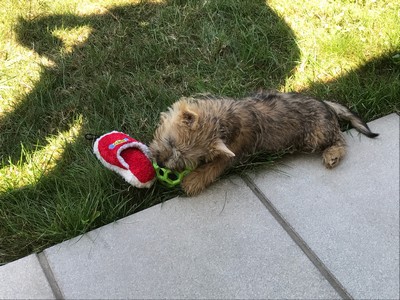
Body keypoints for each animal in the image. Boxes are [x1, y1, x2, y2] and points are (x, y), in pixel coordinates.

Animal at [150, 90, 378, 196]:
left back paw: (333, 155)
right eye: (169, 141)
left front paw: (193, 181)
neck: (221, 121)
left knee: (340, 139)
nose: (159, 163)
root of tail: (326, 105)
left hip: (318, 134)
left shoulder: (232, 155)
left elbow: (213, 167)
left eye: (184, 160)